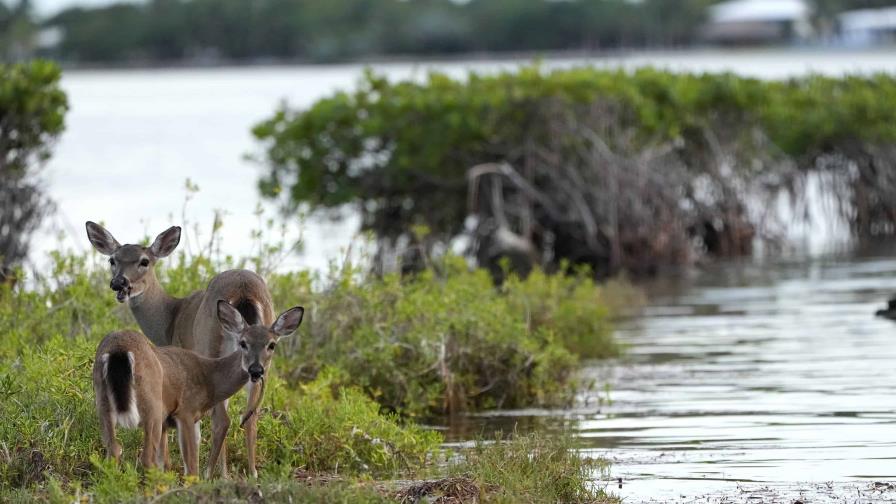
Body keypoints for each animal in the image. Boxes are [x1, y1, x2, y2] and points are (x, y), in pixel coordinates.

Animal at [88, 222, 276, 478]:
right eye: (112, 260)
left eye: (144, 261)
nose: (119, 283)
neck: (171, 319)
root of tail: (244, 290)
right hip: (263, 360)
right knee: (251, 414)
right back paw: (251, 472)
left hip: (210, 345)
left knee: (222, 419)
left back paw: (213, 474)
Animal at [93, 304, 304, 476]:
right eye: (243, 342)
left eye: (271, 344)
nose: (256, 370)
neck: (209, 379)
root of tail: (119, 350)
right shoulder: (185, 411)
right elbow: (191, 468)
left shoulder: (169, 422)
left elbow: (167, 464)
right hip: (152, 405)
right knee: (146, 458)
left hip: (102, 401)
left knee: (114, 450)